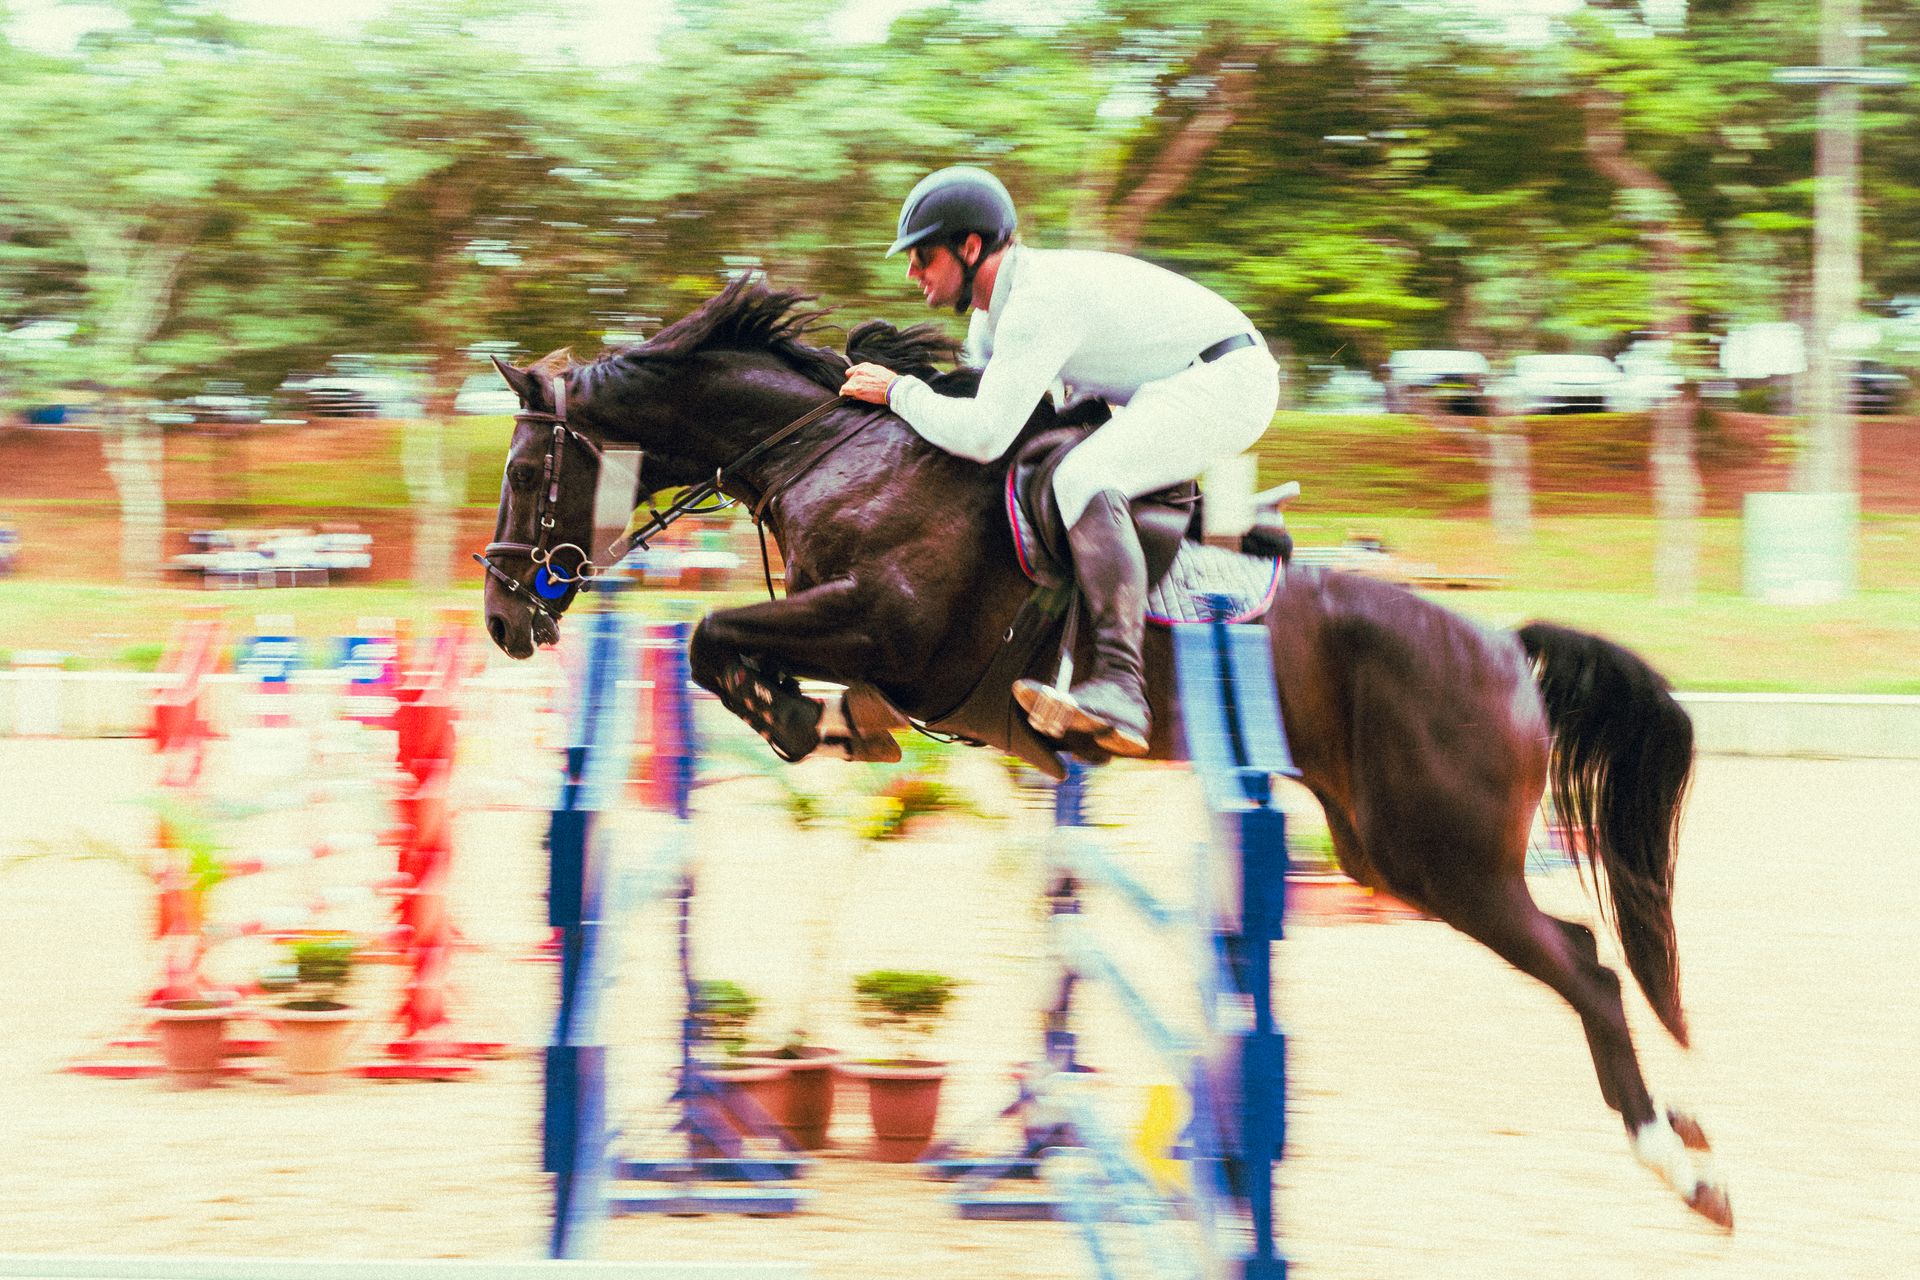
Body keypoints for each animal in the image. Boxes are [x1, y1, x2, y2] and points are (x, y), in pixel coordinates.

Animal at [479, 277, 1732, 1231]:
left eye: (529, 471)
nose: (501, 617)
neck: (833, 450)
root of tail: (1502, 649)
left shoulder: (887, 625)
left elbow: (713, 631)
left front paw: (792, 713)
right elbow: (748, 653)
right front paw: (827, 720)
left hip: (1445, 853)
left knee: (1587, 966)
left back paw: (1682, 1163)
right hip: (1387, 848)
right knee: (1582, 952)